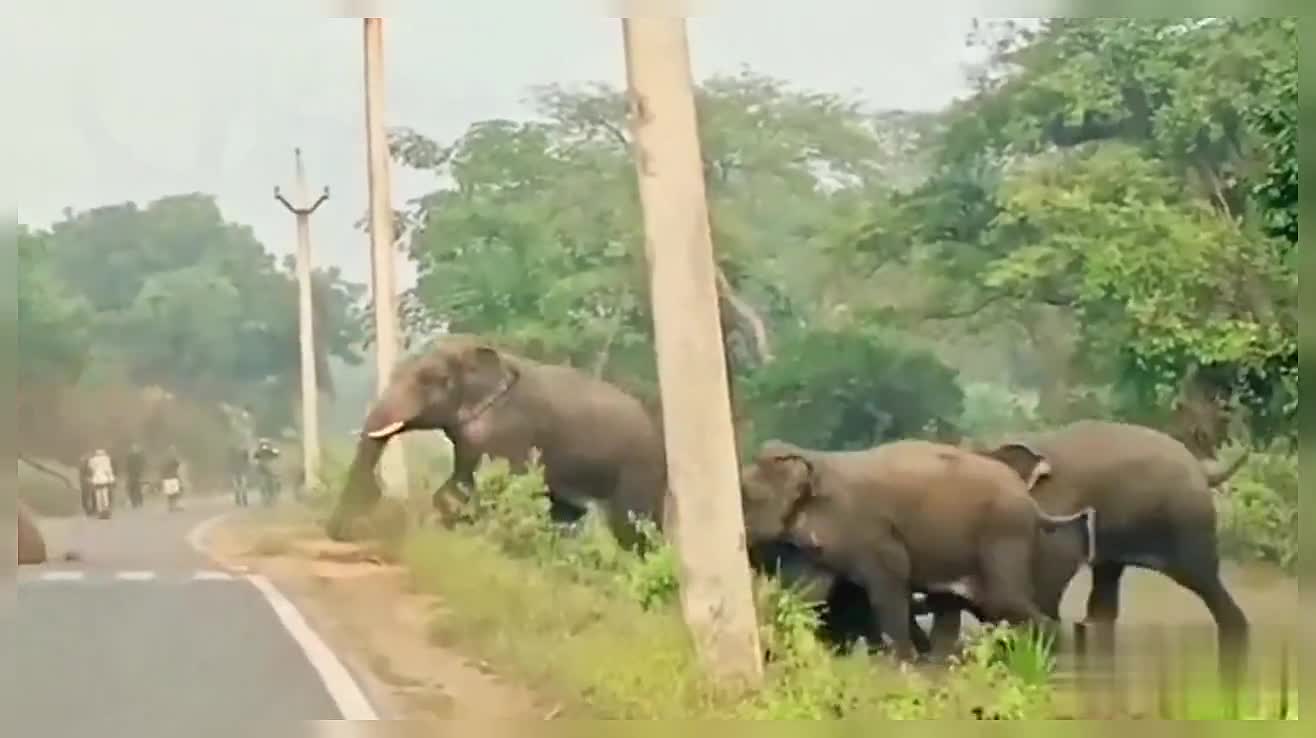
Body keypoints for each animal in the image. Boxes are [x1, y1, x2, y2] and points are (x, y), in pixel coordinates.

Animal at [329, 334, 668, 547]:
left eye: (428, 380)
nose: (341, 533)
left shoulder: (511, 429)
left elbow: (498, 484)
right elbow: (457, 485)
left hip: (640, 468)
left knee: (631, 524)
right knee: (565, 512)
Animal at [736, 436, 1094, 655]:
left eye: (745, 495)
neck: (812, 458)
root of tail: (1032, 503)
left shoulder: (872, 531)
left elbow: (889, 585)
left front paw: (903, 662)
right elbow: (809, 594)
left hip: (1003, 533)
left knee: (1005, 600)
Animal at [979, 420, 1252, 678]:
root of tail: (1202, 470)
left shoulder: (1059, 505)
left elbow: (1054, 568)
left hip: (1187, 520)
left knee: (1202, 579)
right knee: (1108, 581)